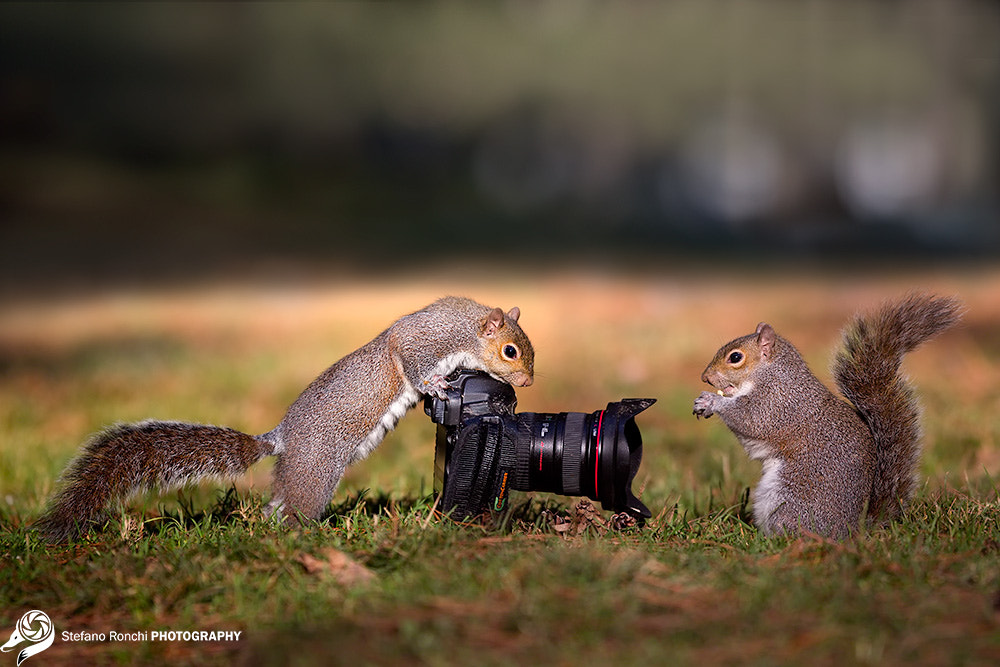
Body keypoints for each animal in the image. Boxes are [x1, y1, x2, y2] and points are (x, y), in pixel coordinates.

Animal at [35, 298, 536, 544]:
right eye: (510, 351)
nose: (529, 382)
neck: (466, 325)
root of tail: (281, 439)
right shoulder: (424, 340)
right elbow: (409, 360)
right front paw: (435, 385)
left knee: (275, 505)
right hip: (316, 470)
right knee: (294, 506)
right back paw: (304, 535)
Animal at [696, 294, 960, 540]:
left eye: (735, 358)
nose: (704, 377)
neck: (772, 373)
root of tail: (853, 528)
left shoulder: (777, 403)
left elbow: (749, 419)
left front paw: (711, 401)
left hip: (790, 499)